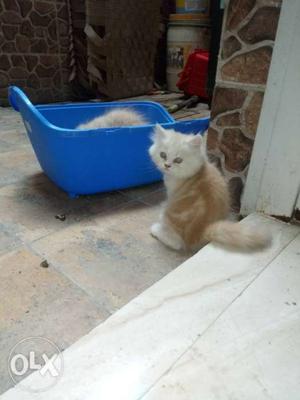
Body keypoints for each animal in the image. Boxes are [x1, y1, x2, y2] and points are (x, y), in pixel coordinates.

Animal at [149, 123, 270, 252]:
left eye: (178, 160)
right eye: (163, 155)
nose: (167, 165)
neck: (196, 171)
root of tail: (203, 231)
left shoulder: (171, 193)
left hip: (171, 216)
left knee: (176, 243)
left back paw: (156, 228)